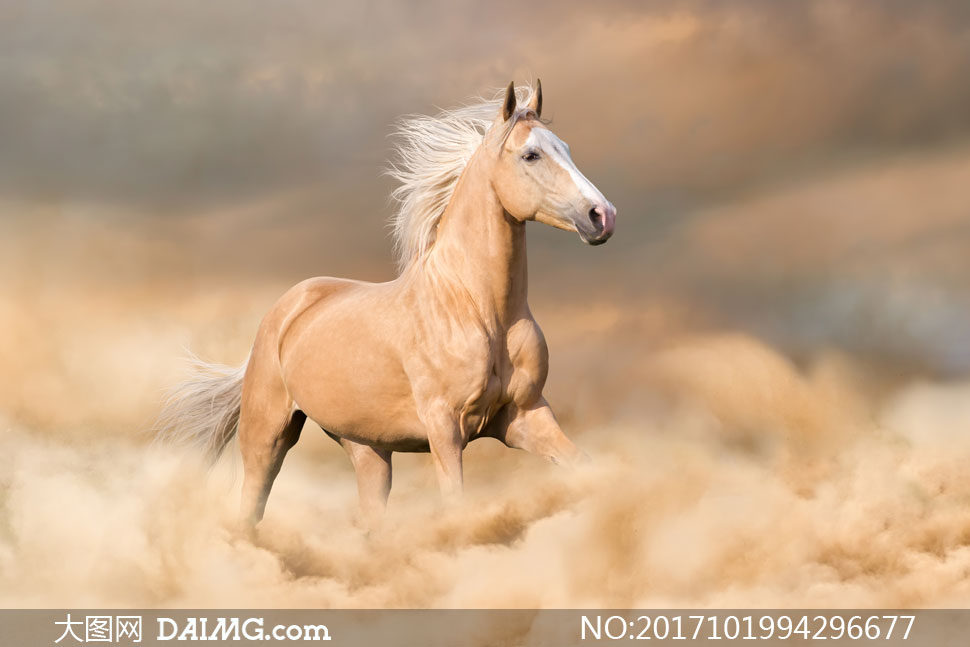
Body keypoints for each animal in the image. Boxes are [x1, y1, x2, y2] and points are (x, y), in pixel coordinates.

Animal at [157, 81, 612, 528]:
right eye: (530, 154)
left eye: (565, 147)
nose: (602, 216)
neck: (478, 310)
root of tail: (285, 309)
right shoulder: (445, 427)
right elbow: (457, 506)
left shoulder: (525, 416)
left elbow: (587, 468)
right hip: (267, 437)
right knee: (251, 508)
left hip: (366, 447)